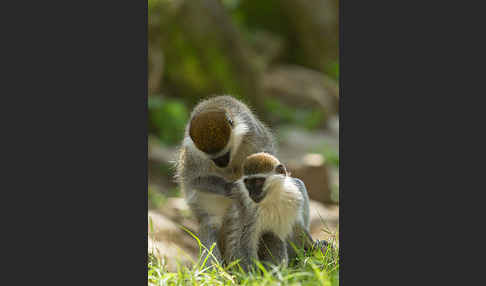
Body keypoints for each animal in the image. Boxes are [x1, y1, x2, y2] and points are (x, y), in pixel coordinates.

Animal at [175, 95, 276, 264]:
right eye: (213, 157)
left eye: (224, 154)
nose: (221, 163)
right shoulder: (193, 154)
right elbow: (192, 180)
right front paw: (229, 188)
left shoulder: (253, 135)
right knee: (209, 223)